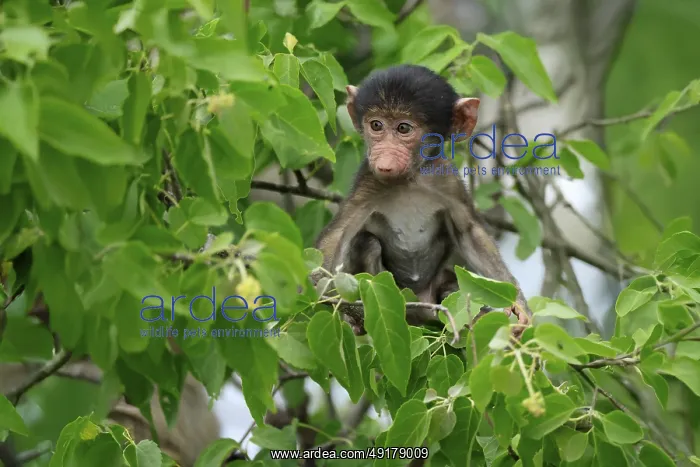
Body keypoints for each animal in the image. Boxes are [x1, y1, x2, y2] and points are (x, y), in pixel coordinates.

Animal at [315, 65, 530, 327]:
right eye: (376, 125)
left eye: (403, 128)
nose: (384, 158)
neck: (410, 180)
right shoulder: (368, 182)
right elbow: (337, 234)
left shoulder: (446, 180)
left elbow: (471, 234)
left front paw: (518, 304)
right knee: (366, 243)